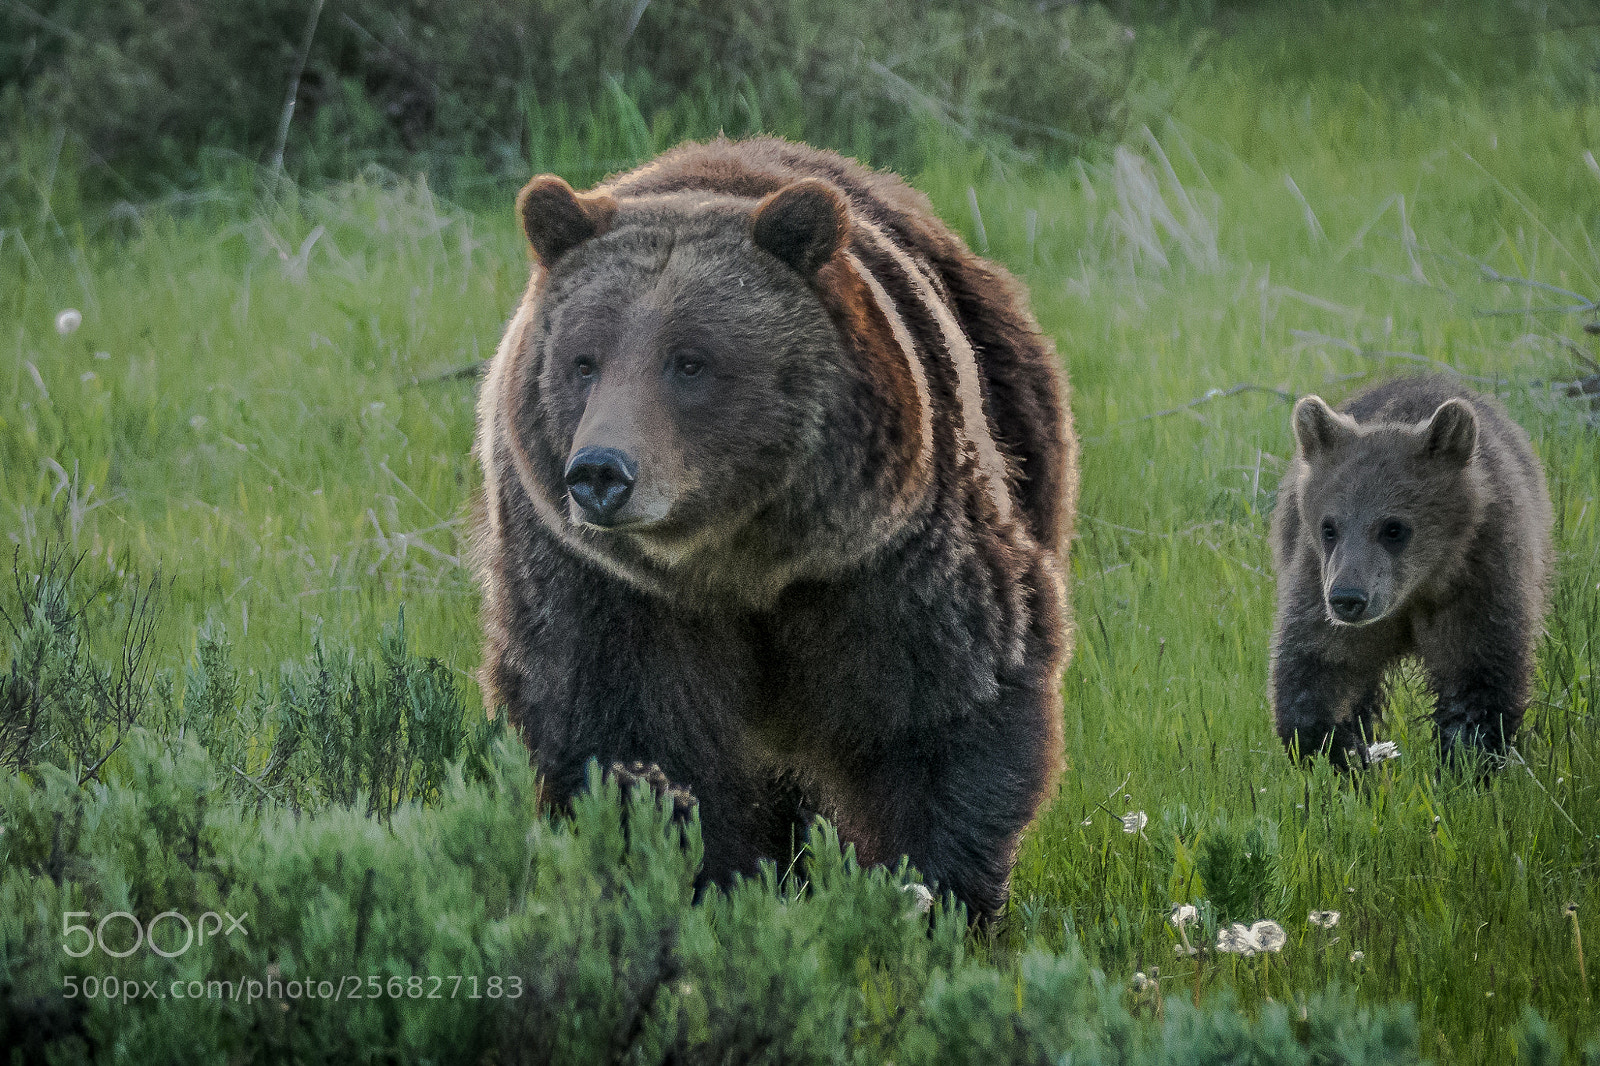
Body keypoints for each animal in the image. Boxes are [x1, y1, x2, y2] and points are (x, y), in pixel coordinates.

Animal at [472, 137, 1077, 920]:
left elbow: (945, 706)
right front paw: (703, 880)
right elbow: (628, 736)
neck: (740, 561)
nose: (601, 472)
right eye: (584, 361)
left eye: (690, 360)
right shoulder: (608, 587)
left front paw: (934, 892)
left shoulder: (883, 560)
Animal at [1269, 374, 1553, 768]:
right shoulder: (1317, 580)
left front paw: (1464, 760)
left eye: (1394, 528)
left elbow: (1479, 680)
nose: (1348, 599)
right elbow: (1314, 666)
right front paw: (1343, 751)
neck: (1417, 588)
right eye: (1329, 527)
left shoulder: (1480, 580)